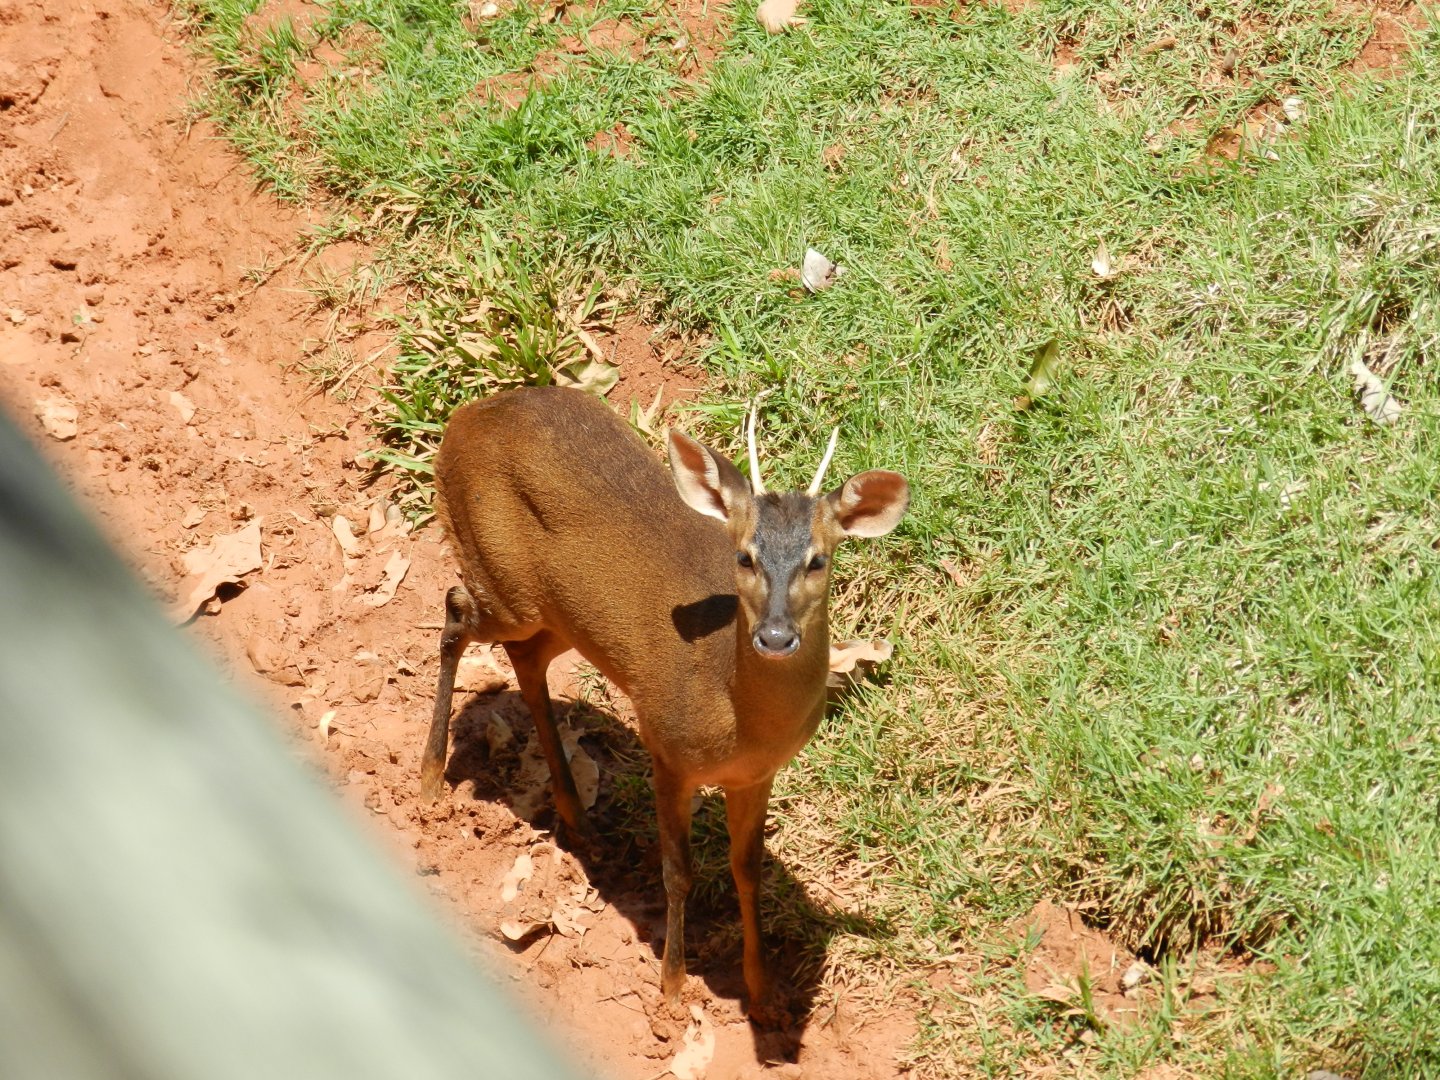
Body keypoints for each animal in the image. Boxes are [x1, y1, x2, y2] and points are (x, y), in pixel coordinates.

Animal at [419, 385, 909, 1025]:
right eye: (745, 556)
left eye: (818, 559)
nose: (776, 636)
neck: (738, 719)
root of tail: (466, 415)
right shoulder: (667, 749)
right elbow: (677, 872)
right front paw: (672, 990)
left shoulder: (756, 776)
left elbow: (747, 871)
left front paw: (763, 994)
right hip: (507, 587)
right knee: (455, 612)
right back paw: (430, 780)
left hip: (561, 615)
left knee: (524, 659)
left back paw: (577, 818)